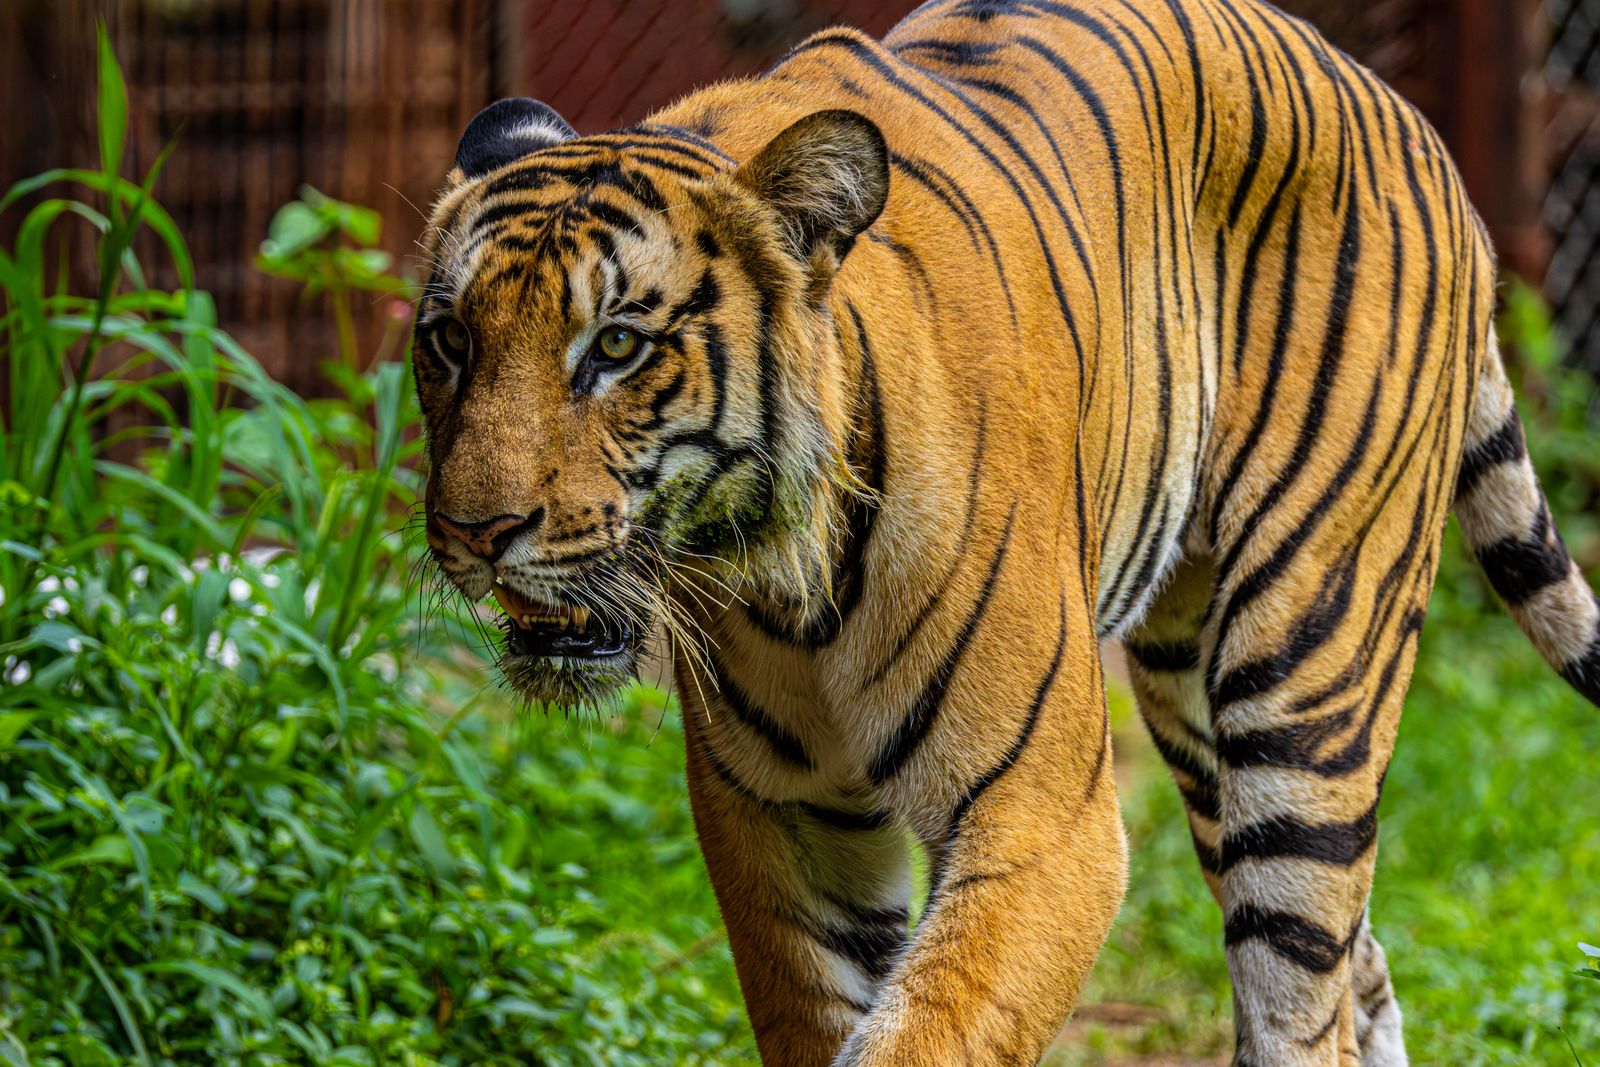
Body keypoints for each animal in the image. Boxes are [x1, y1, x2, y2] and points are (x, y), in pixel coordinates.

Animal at [412, 0, 1600, 1062]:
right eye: (450, 339)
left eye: (615, 345)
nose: (476, 530)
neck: (786, 584)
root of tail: (1406, 116)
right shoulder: (781, 820)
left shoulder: (1044, 820)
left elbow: (928, 1035)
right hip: (1189, 694)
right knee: (1360, 962)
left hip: (1310, 668)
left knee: (1301, 989)